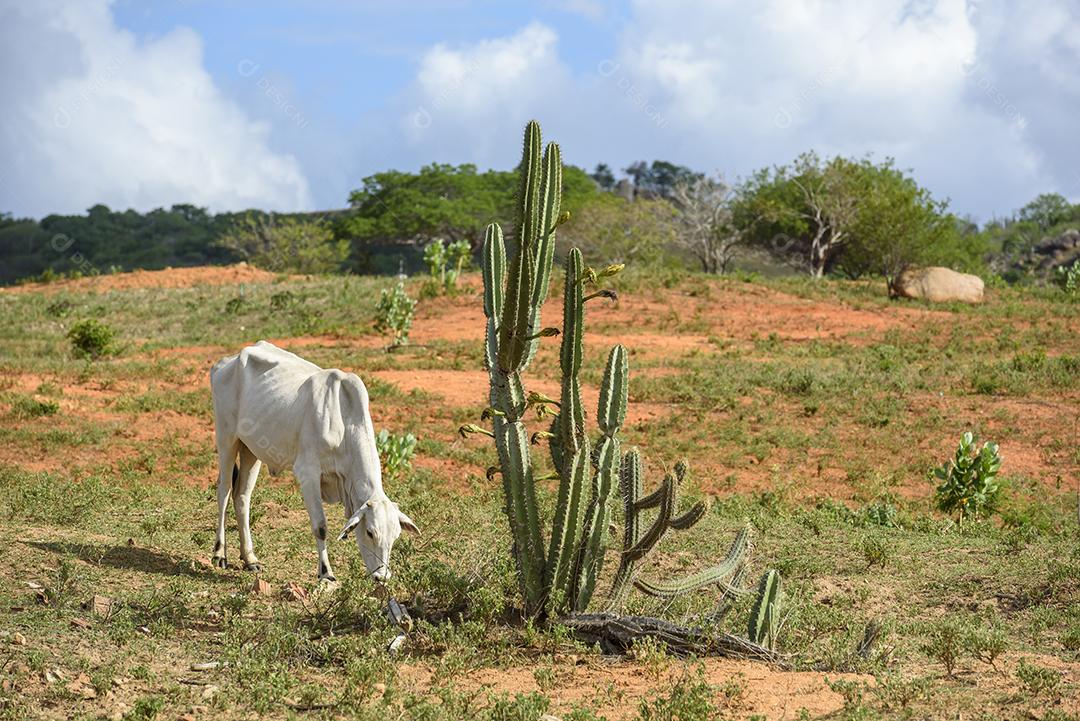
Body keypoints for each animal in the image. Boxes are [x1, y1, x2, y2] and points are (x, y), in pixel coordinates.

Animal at [209, 341, 416, 582]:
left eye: (396, 536)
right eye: (370, 532)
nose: (381, 576)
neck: (343, 422)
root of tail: (225, 362)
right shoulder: (308, 473)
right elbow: (320, 527)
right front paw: (326, 573)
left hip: (251, 449)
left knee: (242, 496)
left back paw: (250, 558)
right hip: (227, 438)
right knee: (224, 491)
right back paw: (219, 554)